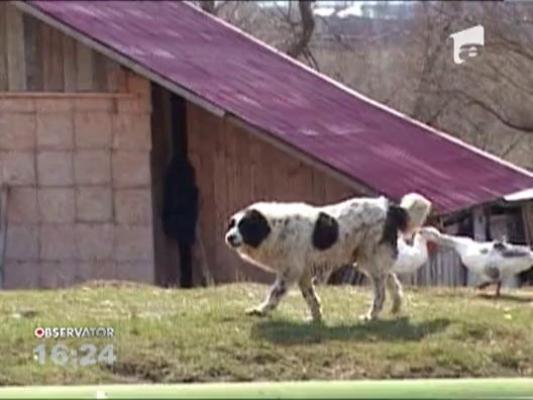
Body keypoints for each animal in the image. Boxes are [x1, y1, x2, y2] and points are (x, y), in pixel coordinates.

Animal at [222, 193, 430, 322]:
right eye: (232, 225)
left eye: (244, 226)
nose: (229, 237)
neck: (274, 227)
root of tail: (388, 207)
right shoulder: (303, 274)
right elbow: (311, 297)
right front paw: (315, 318)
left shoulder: (290, 272)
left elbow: (274, 294)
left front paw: (260, 310)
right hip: (370, 259)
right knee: (392, 280)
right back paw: (396, 307)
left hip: (371, 259)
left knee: (381, 292)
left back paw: (371, 316)